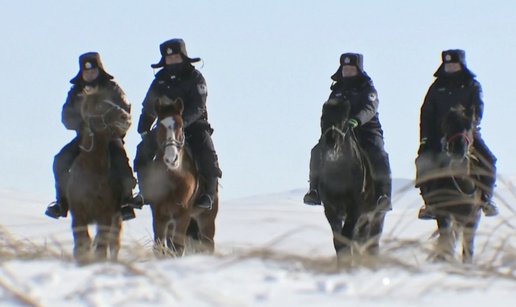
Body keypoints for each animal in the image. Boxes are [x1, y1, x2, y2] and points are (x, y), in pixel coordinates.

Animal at [66, 88, 132, 264]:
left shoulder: (105, 216)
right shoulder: (78, 216)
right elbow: (81, 245)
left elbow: (101, 248)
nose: (125, 117)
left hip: (117, 218)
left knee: (114, 244)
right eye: (99, 105)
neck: (93, 172)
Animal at [137, 96, 218, 258]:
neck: (173, 178)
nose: (171, 159)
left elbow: (178, 248)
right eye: (159, 125)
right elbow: (159, 248)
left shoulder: (183, 214)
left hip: (206, 218)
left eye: (180, 126)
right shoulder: (159, 215)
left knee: (208, 245)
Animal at [316, 98, 384, 260]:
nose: (331, 143)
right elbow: (339, 241)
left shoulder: (355, 210)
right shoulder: (331, 209)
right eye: (322, 118)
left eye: (344, 120)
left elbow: (347, 238)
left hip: (375, 215)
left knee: (371, 241)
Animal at [422, 106, 482, 264]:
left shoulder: (471, 218)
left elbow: (467, 248)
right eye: (449, 125)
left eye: (469, 126)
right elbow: (447, 239)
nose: (457, 149)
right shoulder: (443, 213)